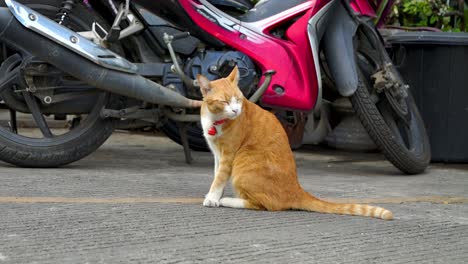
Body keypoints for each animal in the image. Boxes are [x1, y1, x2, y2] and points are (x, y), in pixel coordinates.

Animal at [196, 67, 394, 220]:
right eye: (224, 101)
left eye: (238, 99)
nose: (236, 110)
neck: (215, 120)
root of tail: (296, 188)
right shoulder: (217, 153)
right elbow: (216, 175)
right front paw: (214, 195)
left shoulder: (228, 155)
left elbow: (219, 177)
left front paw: (213, 198)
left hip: (243, 163)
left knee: (265, 205)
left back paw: (228, 201)